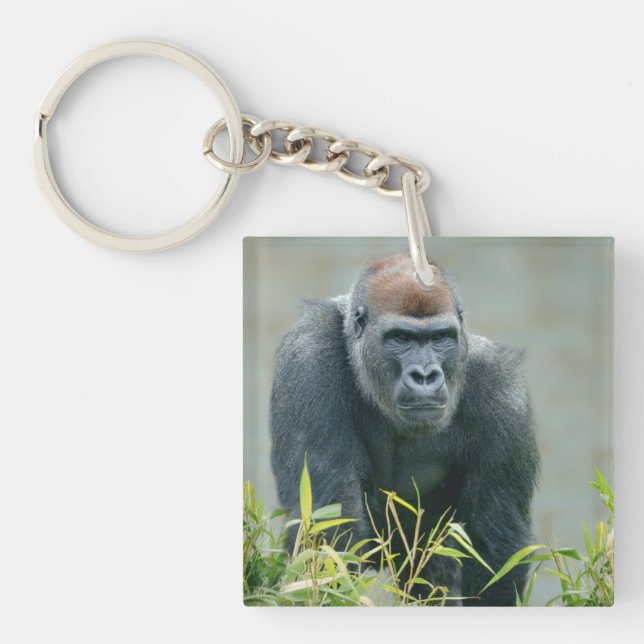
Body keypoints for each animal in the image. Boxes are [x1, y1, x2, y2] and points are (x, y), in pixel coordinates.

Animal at [269, 253, 540, 605]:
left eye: (439, 338)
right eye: (401, 338)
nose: (424, 375)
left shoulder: (504, 392)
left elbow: (495, 552)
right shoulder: (307, 358)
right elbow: (328, 530)